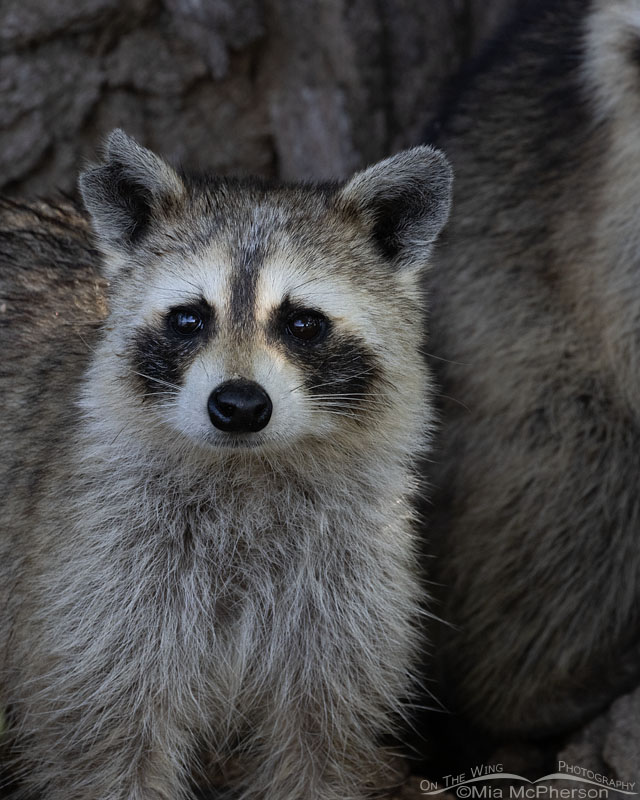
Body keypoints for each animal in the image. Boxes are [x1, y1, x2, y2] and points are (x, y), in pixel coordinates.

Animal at [0, 131, 450, 800]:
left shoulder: (346, 588)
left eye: (303, 322)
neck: (247, 474)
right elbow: (110, 746)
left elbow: (318, 747)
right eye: (190, 317)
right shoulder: (102, 581)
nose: (238, 407)